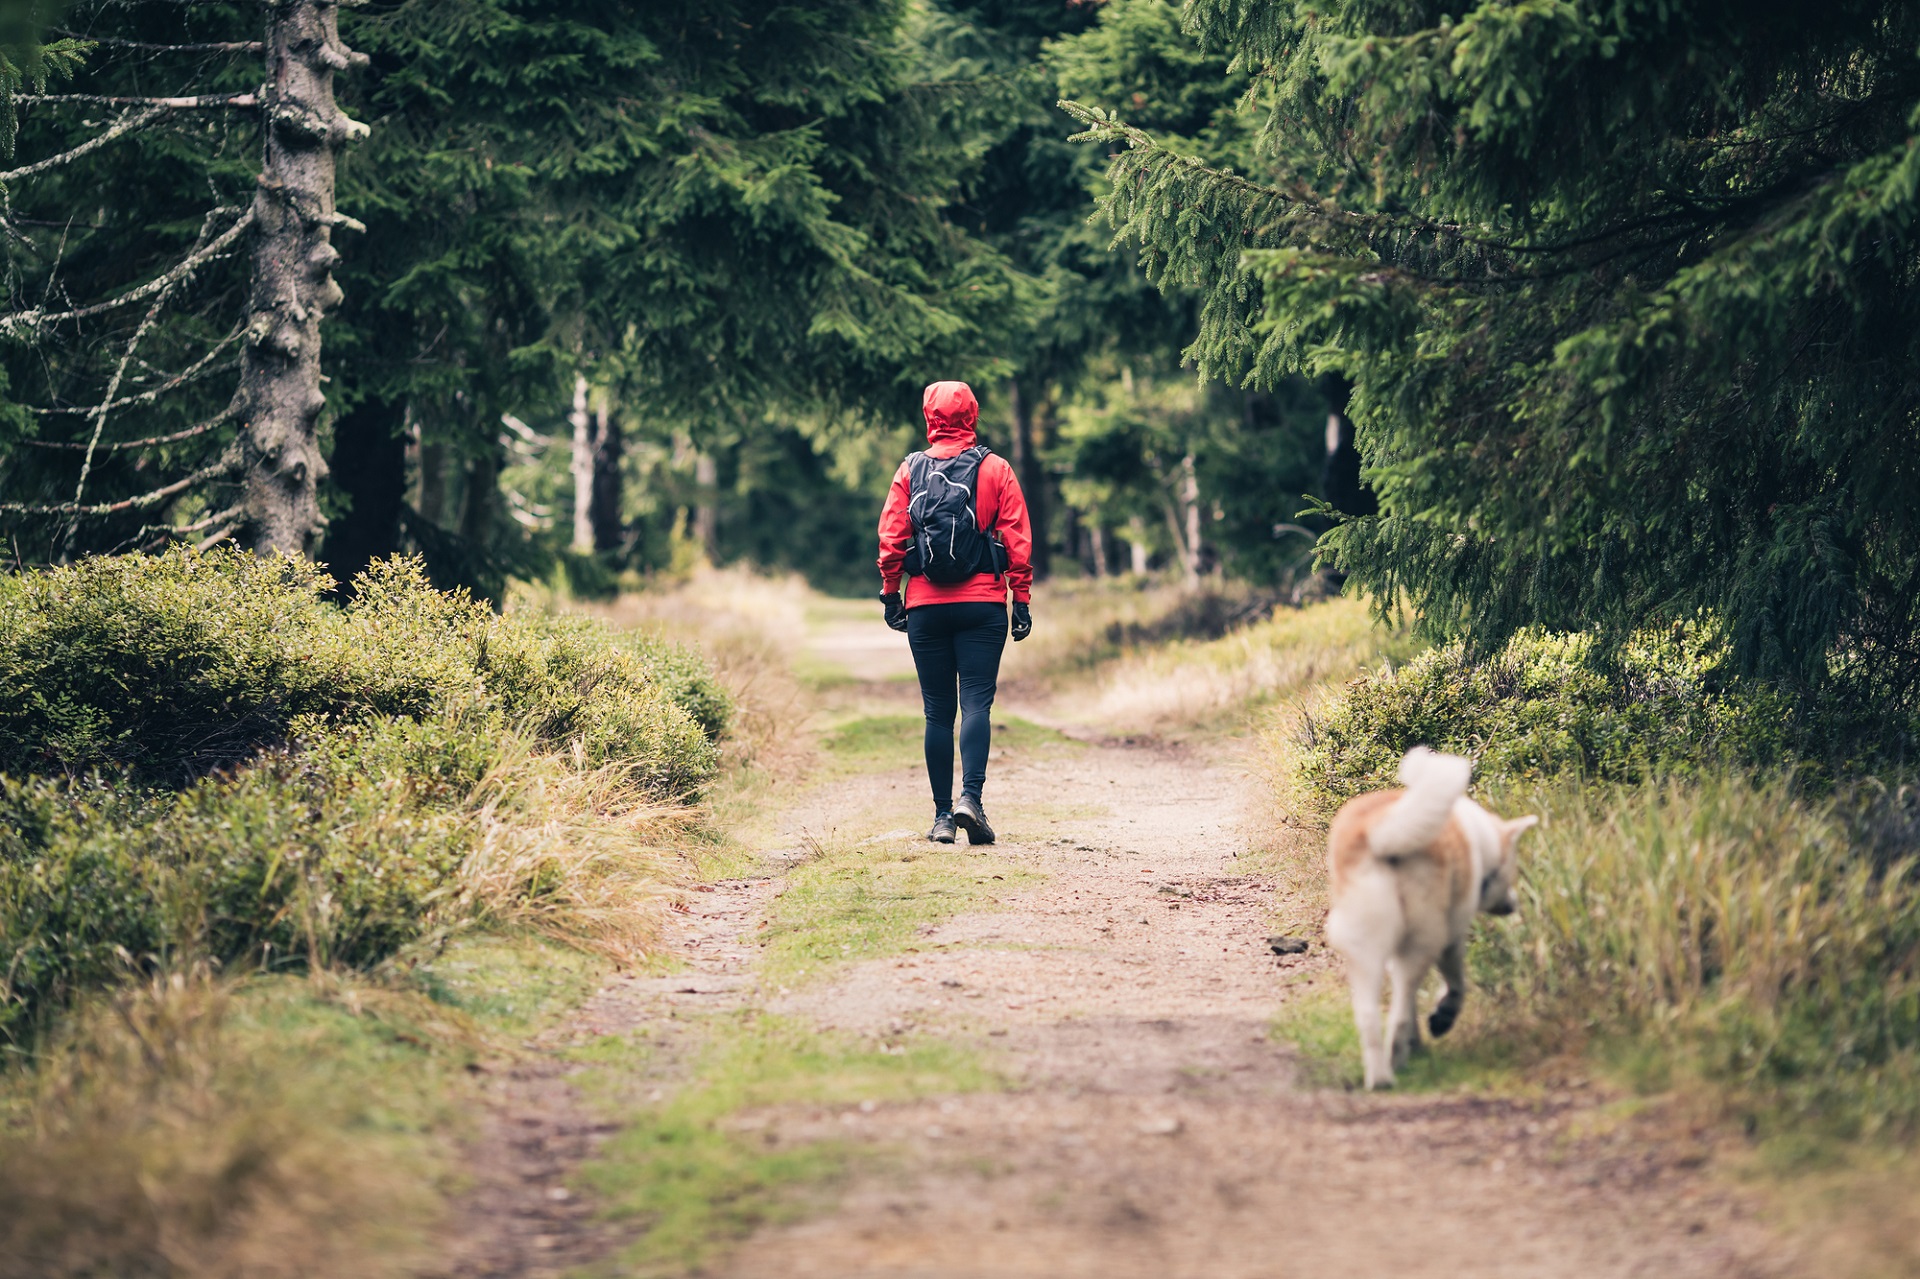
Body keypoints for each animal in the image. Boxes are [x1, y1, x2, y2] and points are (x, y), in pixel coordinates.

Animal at [1328, 748, 1536, 1083]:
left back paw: (1380, 1077)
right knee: (1398, 1013)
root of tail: (1380, 832)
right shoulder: (1450, 940)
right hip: (1421, 942)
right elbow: (1456, 985)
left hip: (1366, 946)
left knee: (1370, 1014)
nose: (1513, 904)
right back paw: (1396, 1059)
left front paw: (1419, 1040)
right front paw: (1441, 1018)